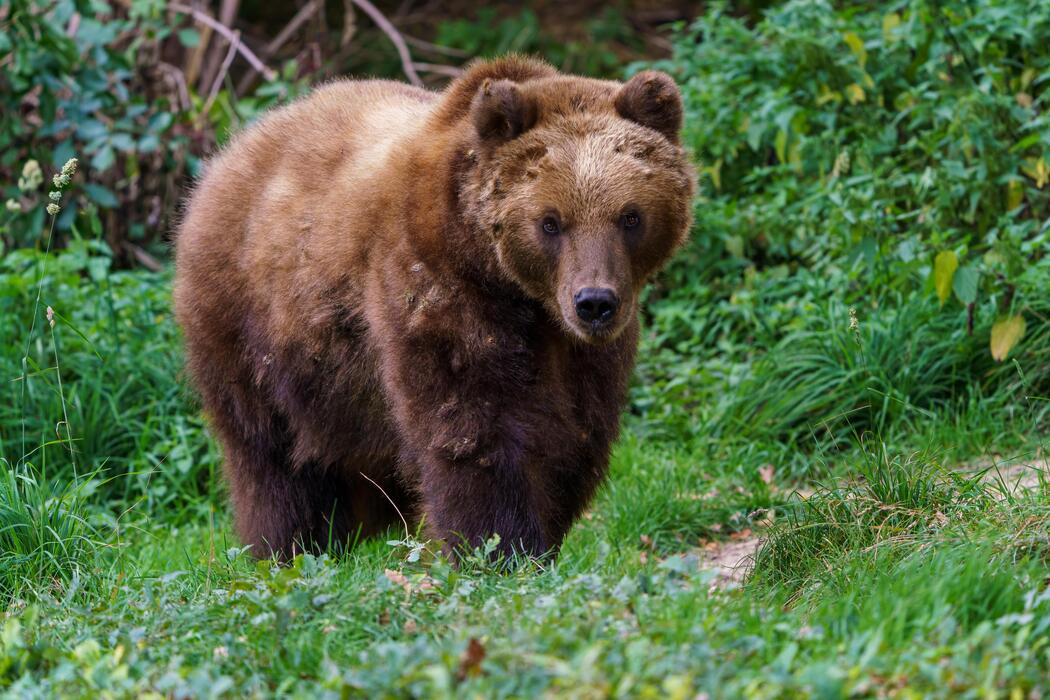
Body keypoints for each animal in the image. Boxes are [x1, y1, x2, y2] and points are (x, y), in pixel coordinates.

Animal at [173, 56, 694, 560]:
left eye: (630, 216)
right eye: (550, 222)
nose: (595, 303)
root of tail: (232, 150)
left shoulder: (582, 350)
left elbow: (576, 434)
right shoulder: (436, 290)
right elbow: (472, 426)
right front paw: (501, 549)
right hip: (251, 325)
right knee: (271, 455)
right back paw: (288, 546)